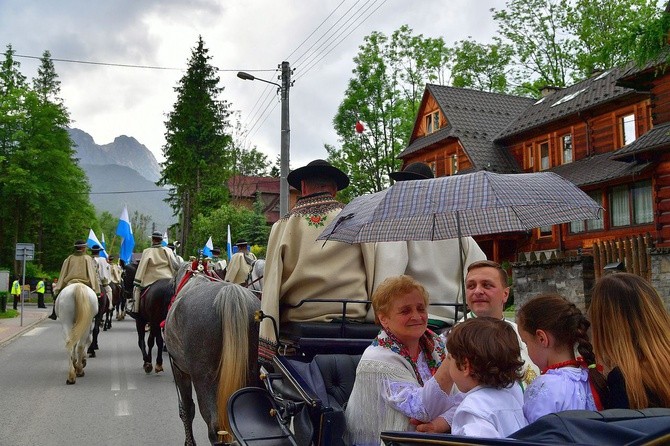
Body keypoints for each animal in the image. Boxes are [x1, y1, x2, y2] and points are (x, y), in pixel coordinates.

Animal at [165, 262, 262, 446]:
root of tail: (230, 292)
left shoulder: (179, 369)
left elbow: (186, 409)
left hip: (204, 379)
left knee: (214, 428)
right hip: (253, 373)